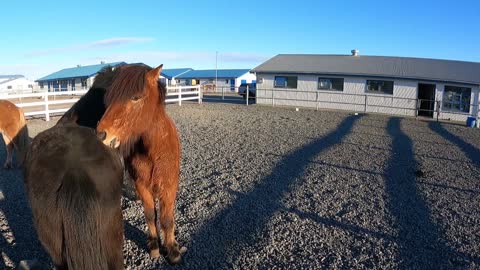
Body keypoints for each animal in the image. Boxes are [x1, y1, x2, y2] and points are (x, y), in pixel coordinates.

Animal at [95, 65, 186, 264]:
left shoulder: (169, 186)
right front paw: (154, 246)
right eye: (111, 96)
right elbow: (151, 214)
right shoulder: (142, 184)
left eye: (135, 97)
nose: (101, 134)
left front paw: (173, 250)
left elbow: (167, 218)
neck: (154, 152)